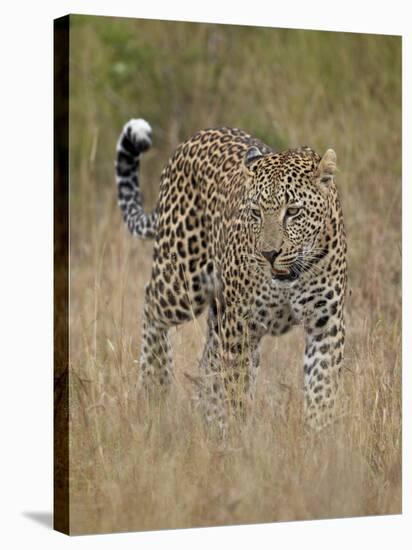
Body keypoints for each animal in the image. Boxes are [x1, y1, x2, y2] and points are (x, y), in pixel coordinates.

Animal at [114, 118, 346, 434]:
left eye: (294, 212)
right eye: (256, 212)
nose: (269, 253)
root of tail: (193, 138)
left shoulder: (325, 324)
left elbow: (322, 389)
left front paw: (321, 438)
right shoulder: (240, 325)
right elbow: (236, 389)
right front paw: (238, 437)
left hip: (217, 311)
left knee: (208, 362)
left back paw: (208, 421)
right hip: (183, 282)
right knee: (152, 307)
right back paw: (155, 386)